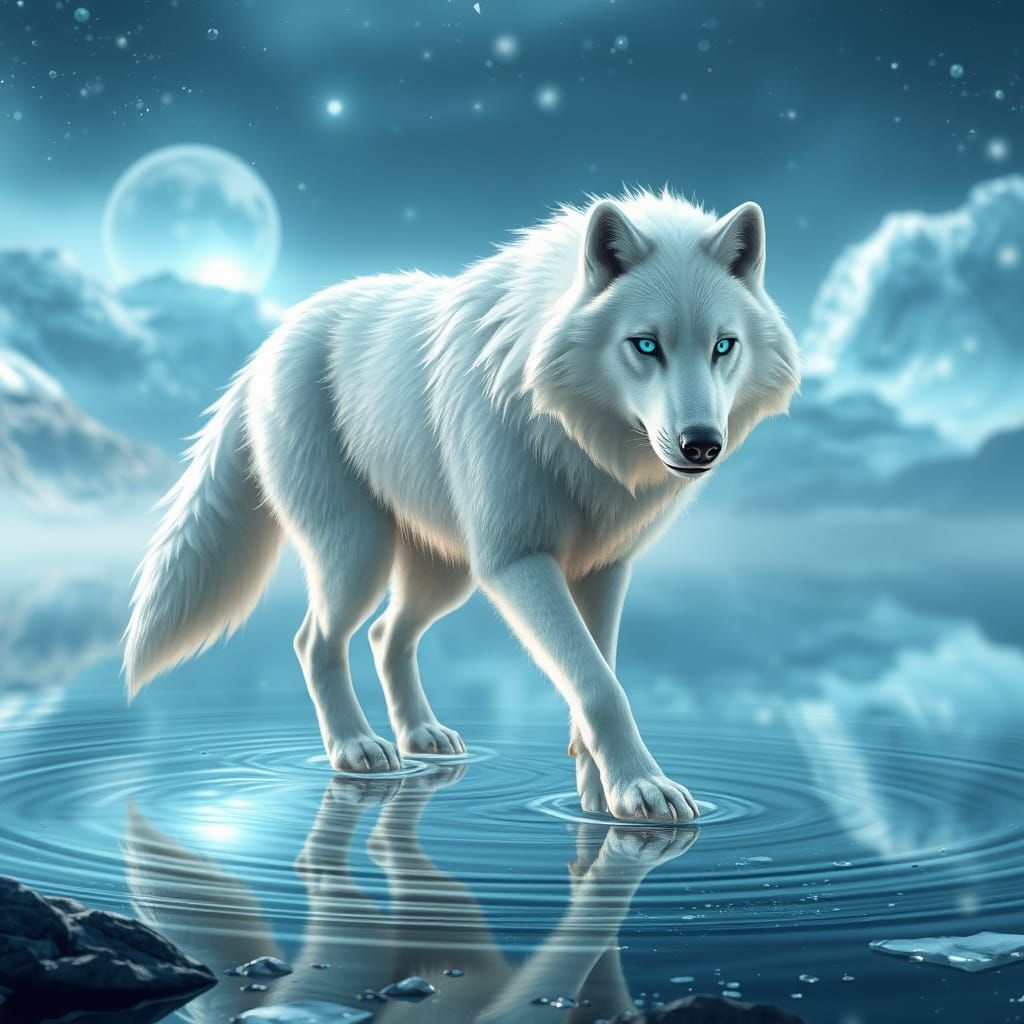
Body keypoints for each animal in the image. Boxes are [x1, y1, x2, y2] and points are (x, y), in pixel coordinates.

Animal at [123, 188, 800, 823]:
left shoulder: (604, 568)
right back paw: (356, 748)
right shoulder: (518, 561)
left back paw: (420, 736)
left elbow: (598, 674)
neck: (565, 430)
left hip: (446, 572)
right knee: (315, 640)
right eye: (646, 345)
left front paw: (598, 796)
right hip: (360, 555)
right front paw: (641, 788)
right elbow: (598, 685)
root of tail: (265, 348)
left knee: (386, 634)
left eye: (723, 347)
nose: (701, 444)